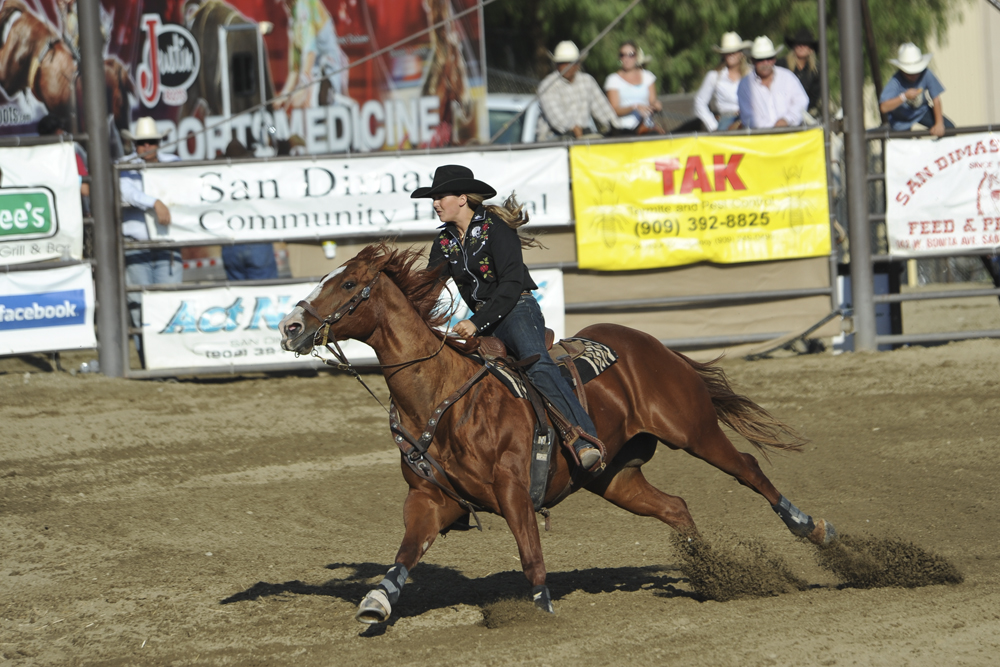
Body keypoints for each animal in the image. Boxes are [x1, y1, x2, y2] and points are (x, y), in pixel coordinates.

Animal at [278, 245, 832, 628]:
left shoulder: (513, 489)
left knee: (748, 469)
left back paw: (813, 529)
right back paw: (708, 568)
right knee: (675, 506)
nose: (289, 327)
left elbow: (531, 556)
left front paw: (540, 612)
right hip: (613, 476)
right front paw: (375, 603)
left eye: (349, 283)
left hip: (692, 430)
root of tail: (651, 344)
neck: (444, 395)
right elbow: (405, 554)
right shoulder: (430, 499)